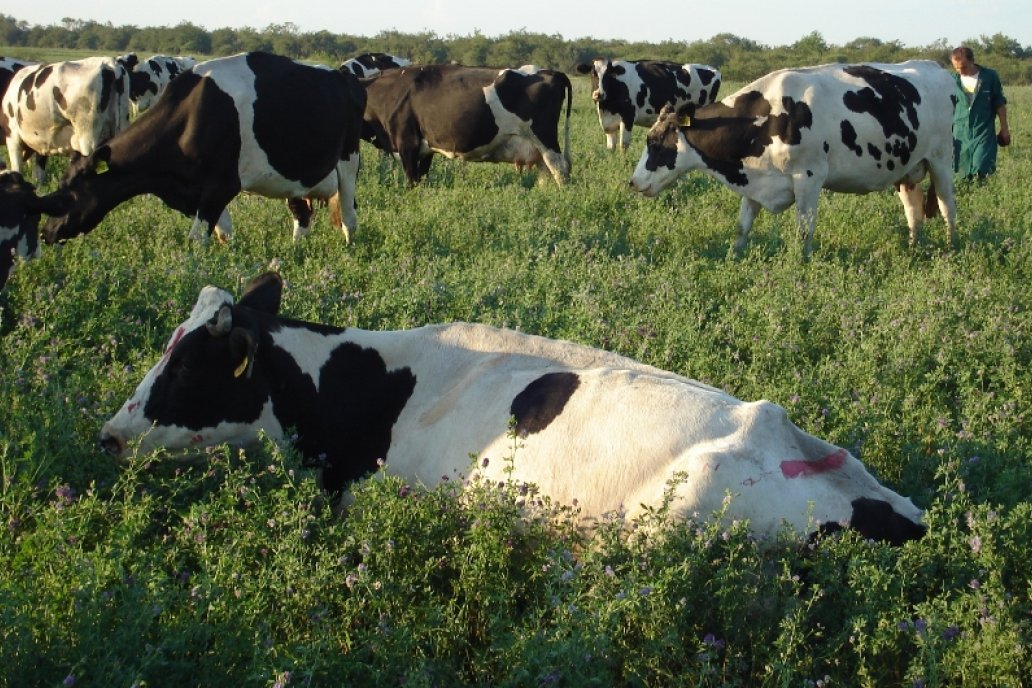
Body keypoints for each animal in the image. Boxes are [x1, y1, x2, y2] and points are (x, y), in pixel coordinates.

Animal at [1, 56, 132, 180]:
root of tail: (108, 62)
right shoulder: (42, 140)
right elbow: (39, 173)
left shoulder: (12, 135)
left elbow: (17, 168)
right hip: (121, 125)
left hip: (87, 137)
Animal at [361, 64, 573, 185]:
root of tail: (550, 72)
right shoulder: (425, 148)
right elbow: (422, 179)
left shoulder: (407, 144)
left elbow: (411, 181)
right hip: (537, 149)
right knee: (545, 174)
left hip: (544, 138)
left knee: (560, 169)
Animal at [577, 58, 722, 150]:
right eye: (593, 74)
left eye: (608, 76)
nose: (598, 94)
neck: (606, 107)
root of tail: (713, 69)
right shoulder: (608, 123)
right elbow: (610, 148)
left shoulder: (628, 117)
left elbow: (623, 146)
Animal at [627, 61, 957, 255]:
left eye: (655, 143)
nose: (633, 182)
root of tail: (932, 66)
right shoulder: (753, 179)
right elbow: (742, 226)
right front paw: (735, 257)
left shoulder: (808, 177)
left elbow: (803, 230)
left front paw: (802, 266)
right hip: (907, 169)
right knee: (914, 211)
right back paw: (913, 249)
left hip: (941, 159)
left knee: (946, 206)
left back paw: (952, 249)